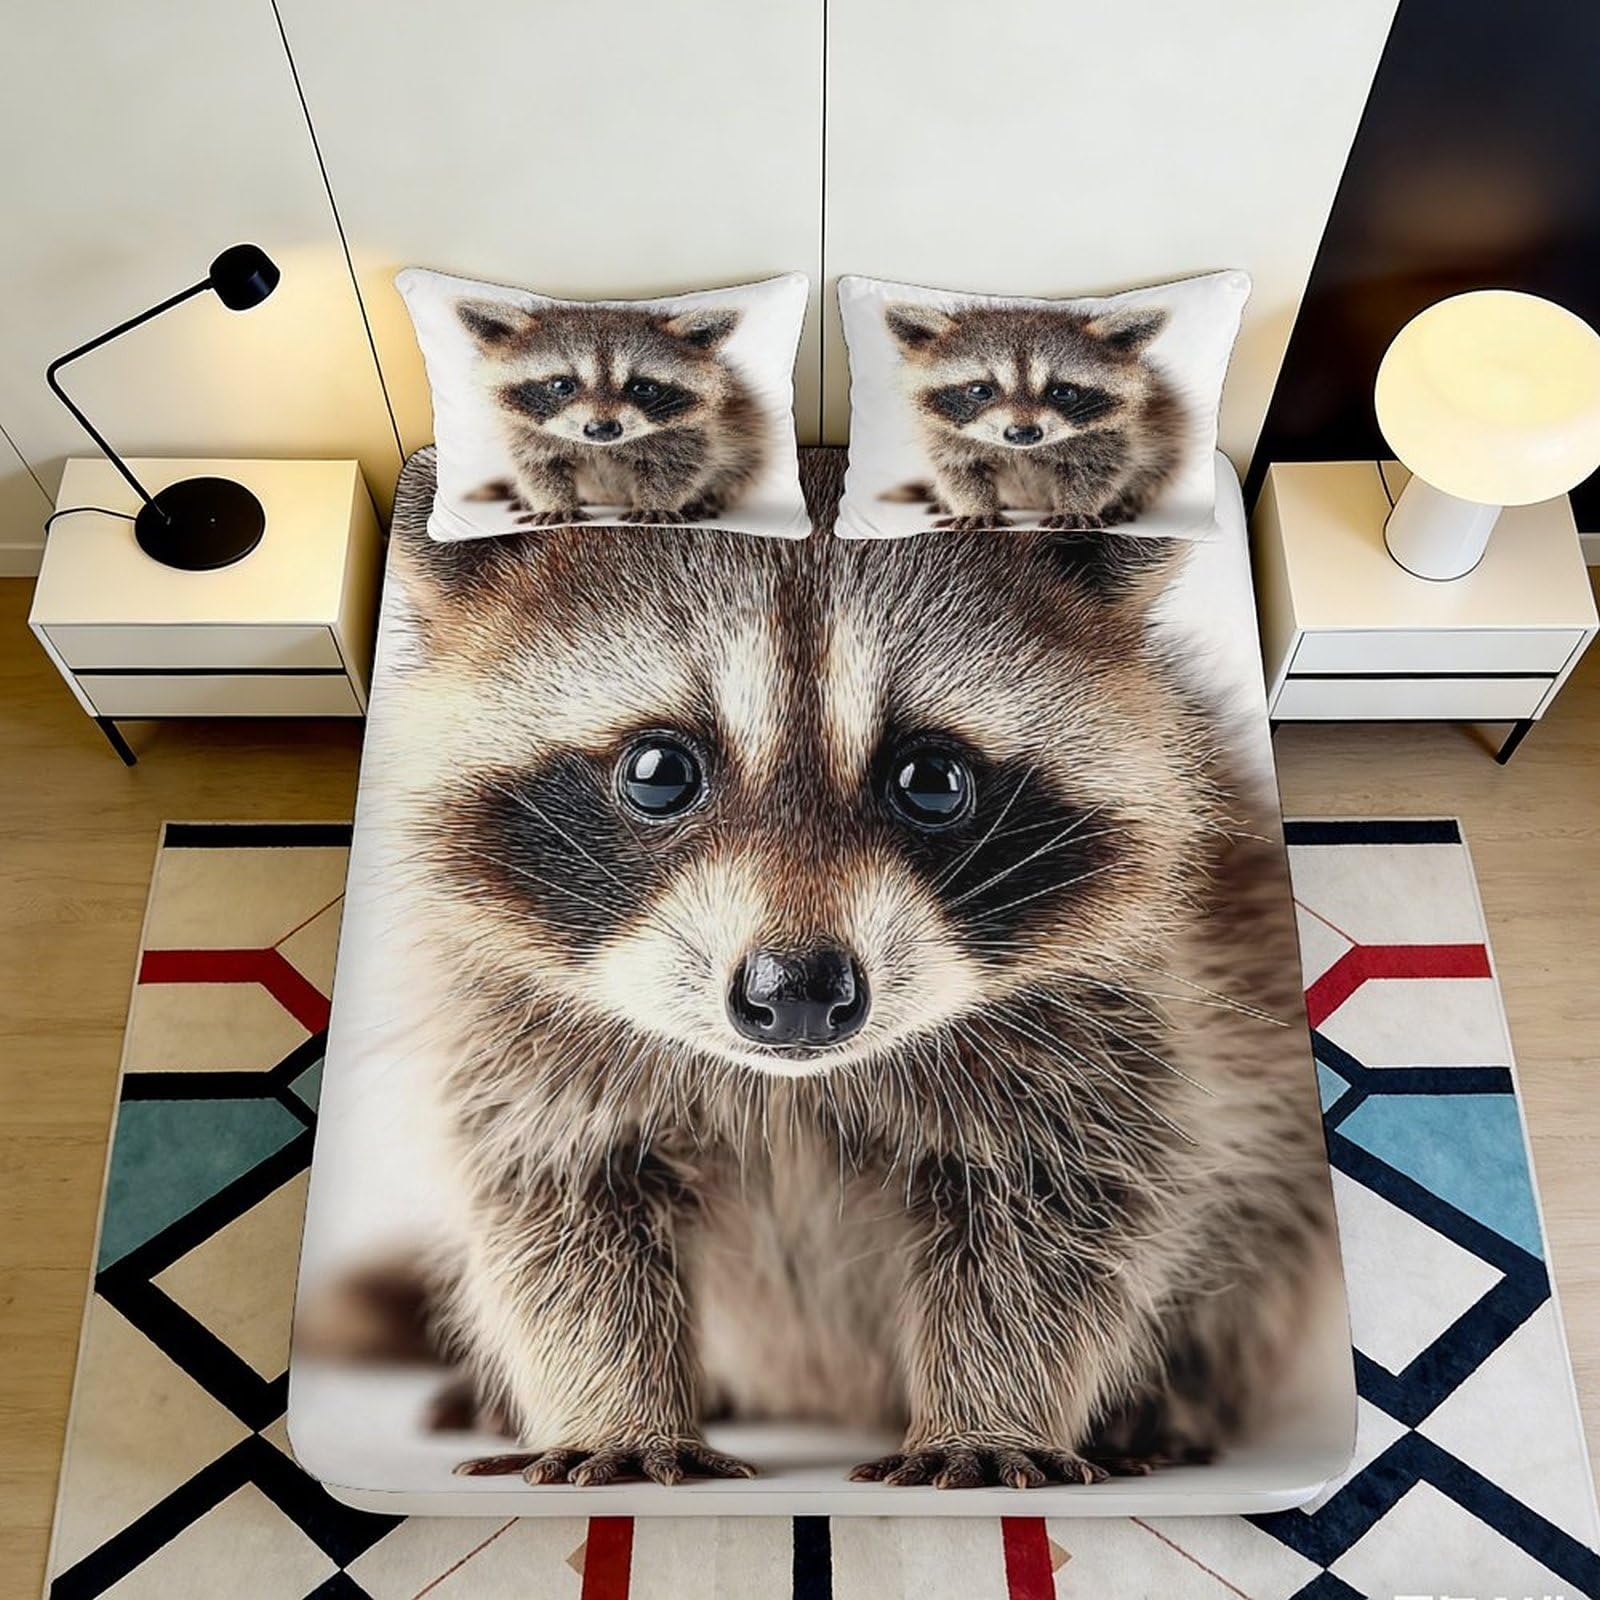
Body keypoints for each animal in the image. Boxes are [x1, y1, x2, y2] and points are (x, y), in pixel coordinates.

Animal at [337, 448, 1334, 1491]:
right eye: (659, 772)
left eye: (931, 781)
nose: (800, 995)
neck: (793, 1083)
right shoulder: (524, 1028)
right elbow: (559, 1215)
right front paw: (616, 1410)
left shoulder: (1108, 1022)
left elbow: (1054, 1222)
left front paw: (990, 1416)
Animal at [456, 299, 767, 525]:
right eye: (561, 385)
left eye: (643, 387)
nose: (603, 429)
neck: (601, 447)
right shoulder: (526, 431)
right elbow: (538, 466)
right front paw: (555, 501)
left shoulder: (691, 432)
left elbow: (677, 466)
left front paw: (656, 502)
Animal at [883, 301, 1185, 531]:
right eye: (980, 390)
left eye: (1062, 392)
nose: (1023, 433)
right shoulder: (945, 435)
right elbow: (958, 469)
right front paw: (975, 506)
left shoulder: (1113, 433)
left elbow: (1097, 469)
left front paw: (1077, 505)